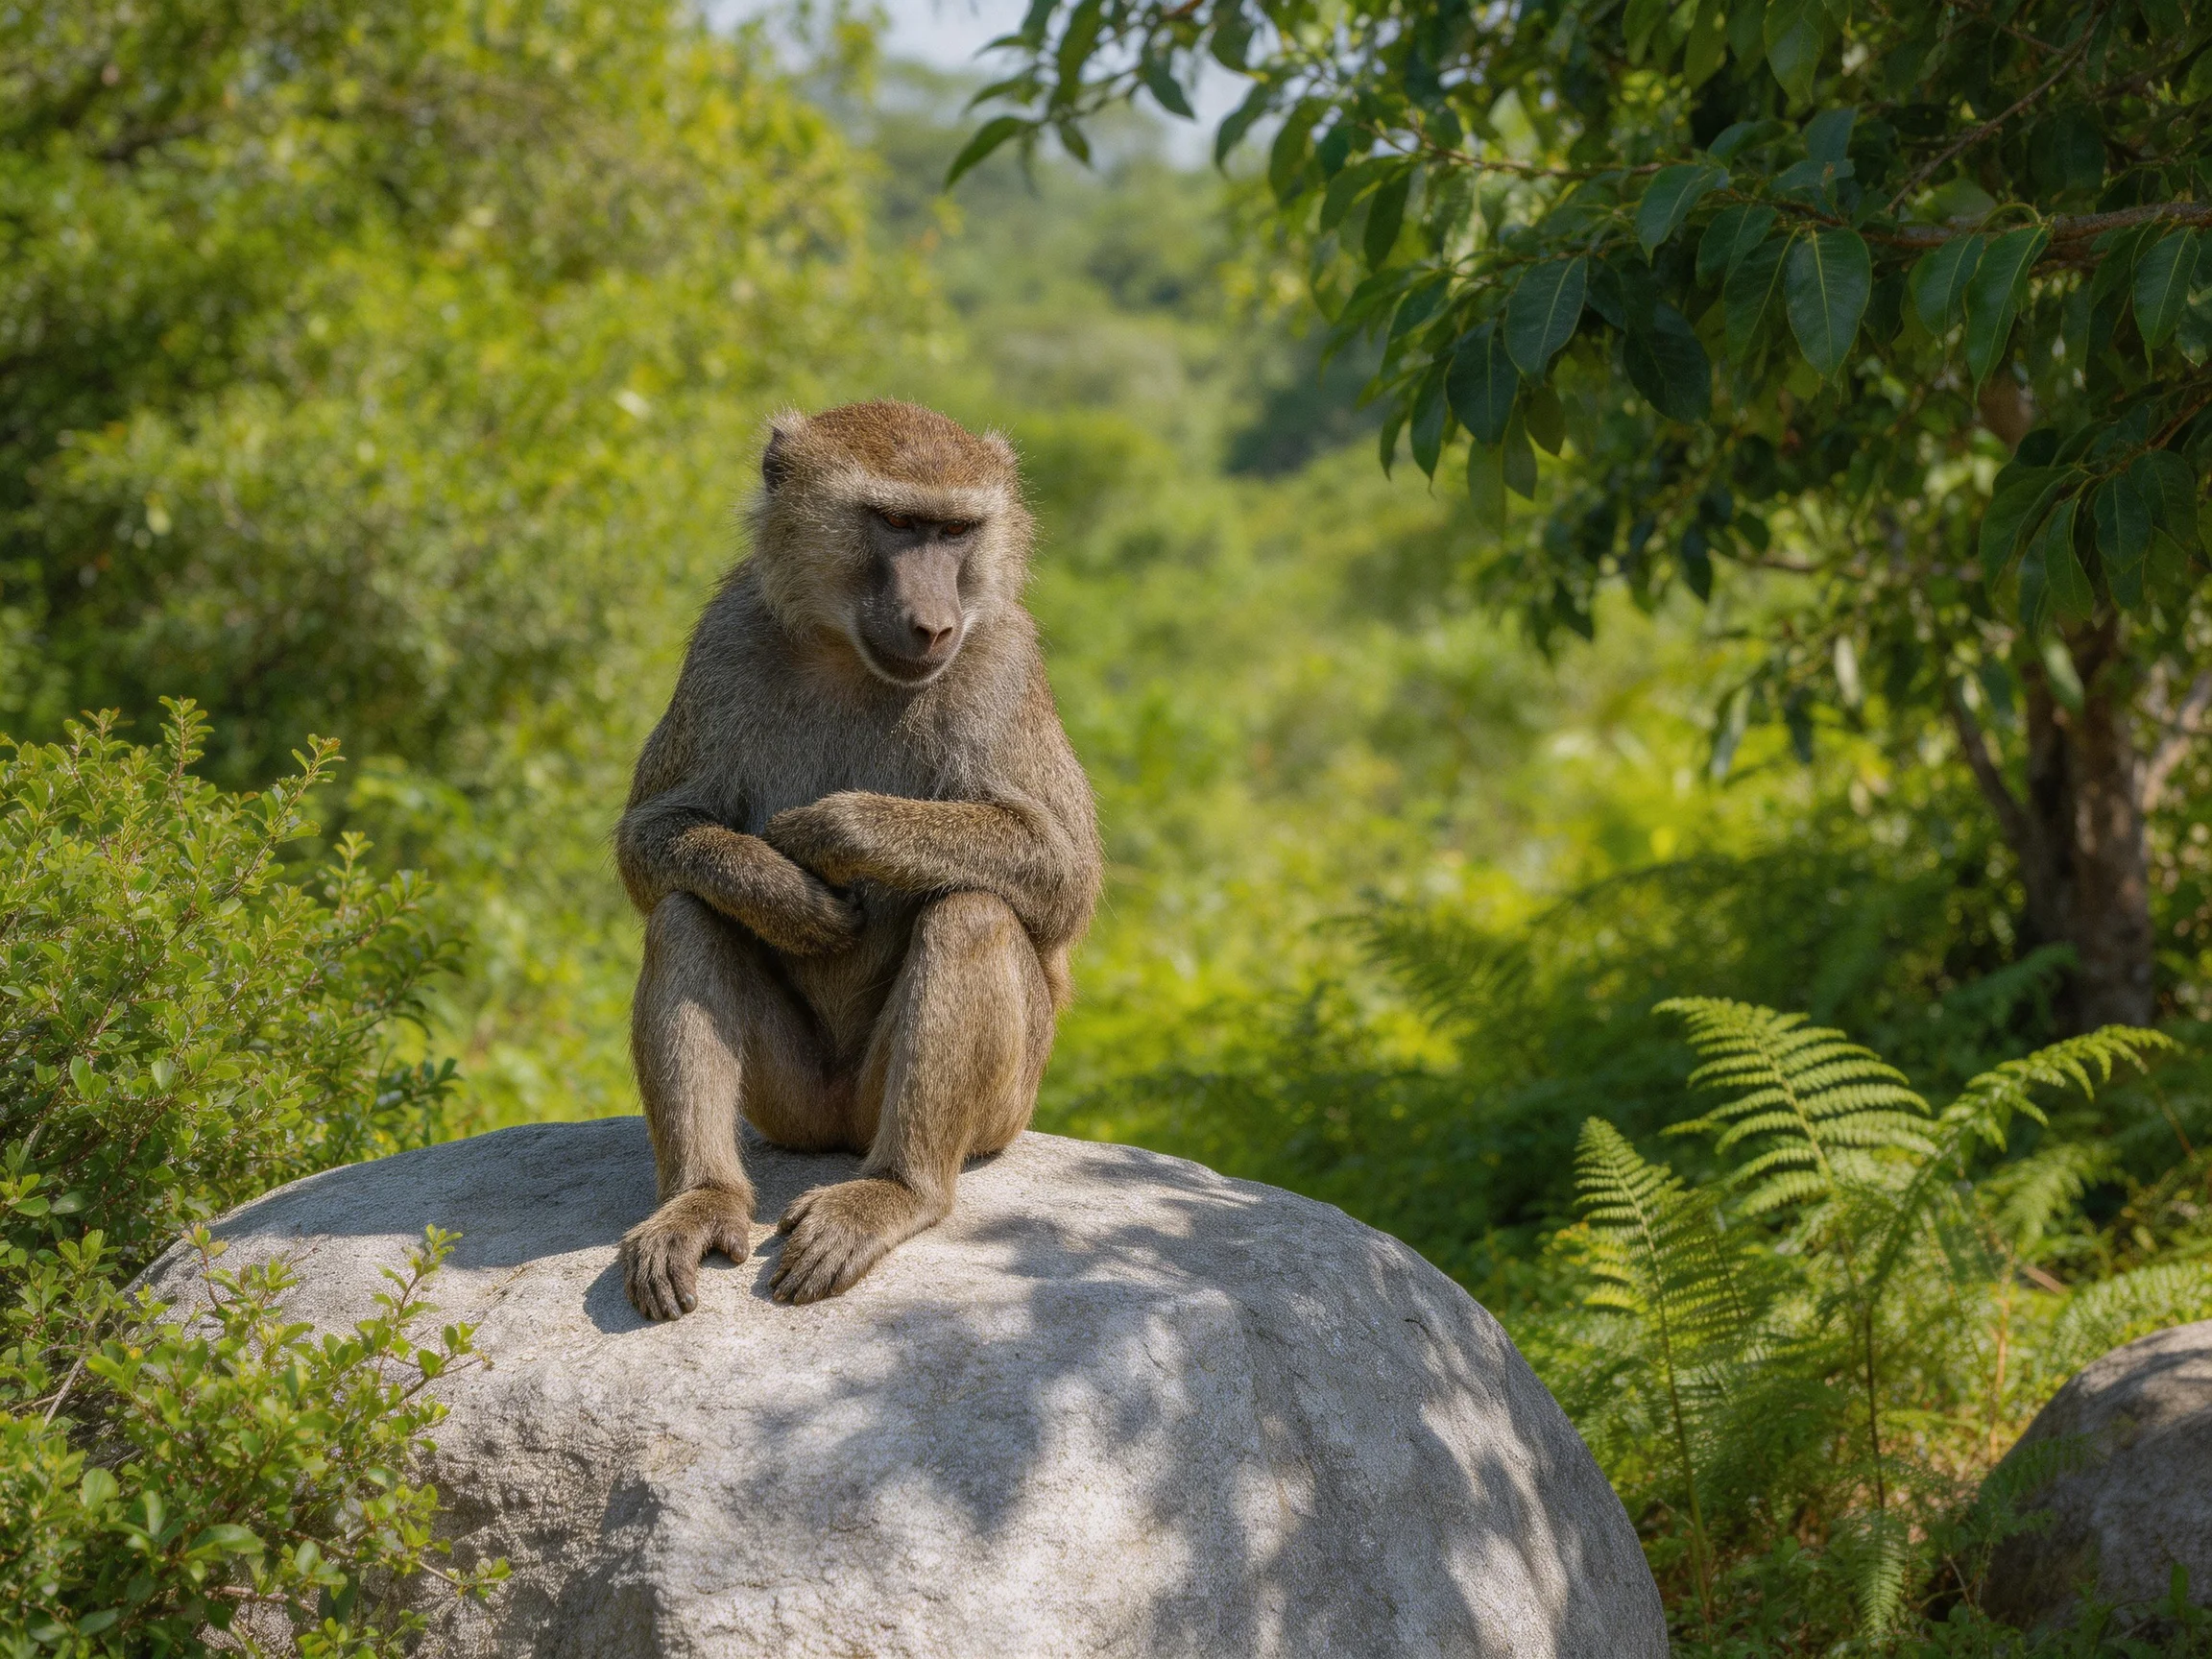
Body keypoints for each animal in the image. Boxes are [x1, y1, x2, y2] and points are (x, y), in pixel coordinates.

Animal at [612, 400, 1102, 1318]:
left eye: (955, 530)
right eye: (898, 523)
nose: (934, 624)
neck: (845, 650)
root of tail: (844, 1129)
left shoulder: (1004, 659)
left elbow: (1066, 877)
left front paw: (835, 832)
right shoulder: (725, 636)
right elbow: (650, 841)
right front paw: (781, 891)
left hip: (1001, 1109)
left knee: (973, 911)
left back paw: (897, 1192)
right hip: (790, 1108)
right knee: (686, 912)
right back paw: (700, 1200)